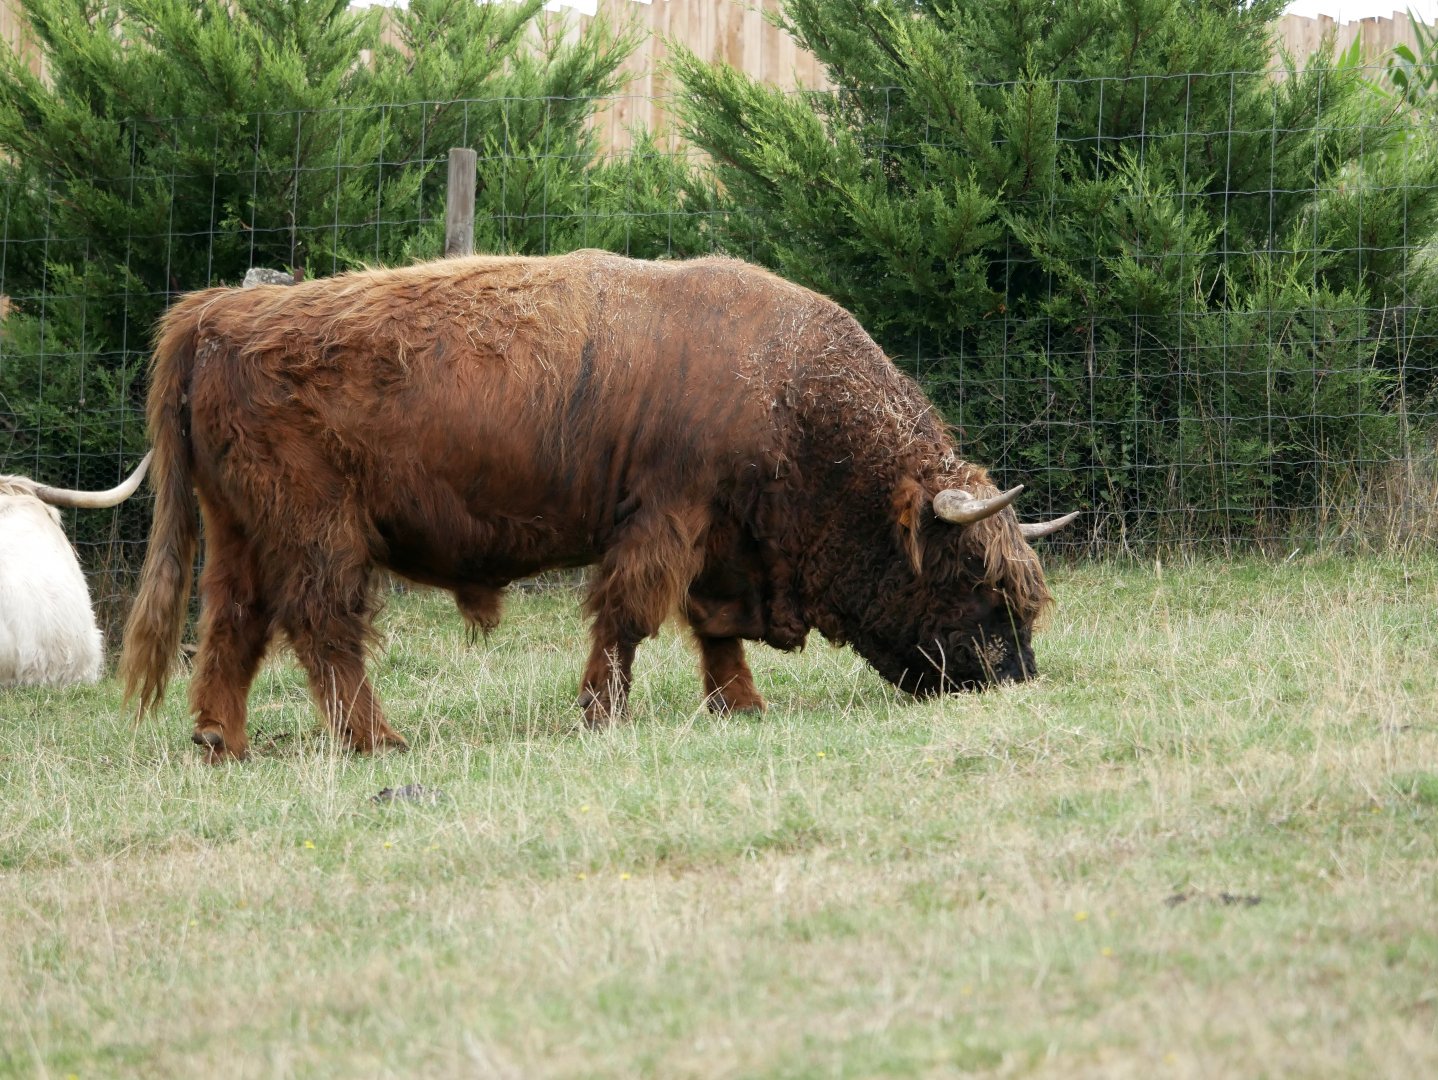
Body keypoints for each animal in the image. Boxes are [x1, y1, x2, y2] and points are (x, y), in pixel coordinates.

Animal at [120, 251, 1077, 761]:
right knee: (322, 626)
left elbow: (711, 628)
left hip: (238, 531)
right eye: (973, 577)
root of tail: (219, 313)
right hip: (316, 533)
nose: (1017, 677)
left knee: (235, 624)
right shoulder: (664, 519)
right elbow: (628, 617)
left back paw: (223, 742)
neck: (789, 392)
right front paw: (602, 713)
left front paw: (741, 704)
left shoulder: (718, 540)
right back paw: (375, 740)